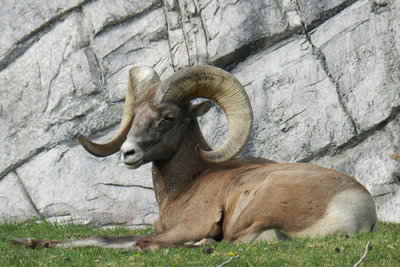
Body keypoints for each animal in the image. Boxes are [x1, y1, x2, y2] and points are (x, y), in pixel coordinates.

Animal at [10, 65, 378, 251]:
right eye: (134, 116)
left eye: (167, 118)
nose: (128, 152)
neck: (187, 185)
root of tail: (359, 211)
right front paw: (27, 240)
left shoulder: (186, 225)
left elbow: (119, 239)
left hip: (251, 211)